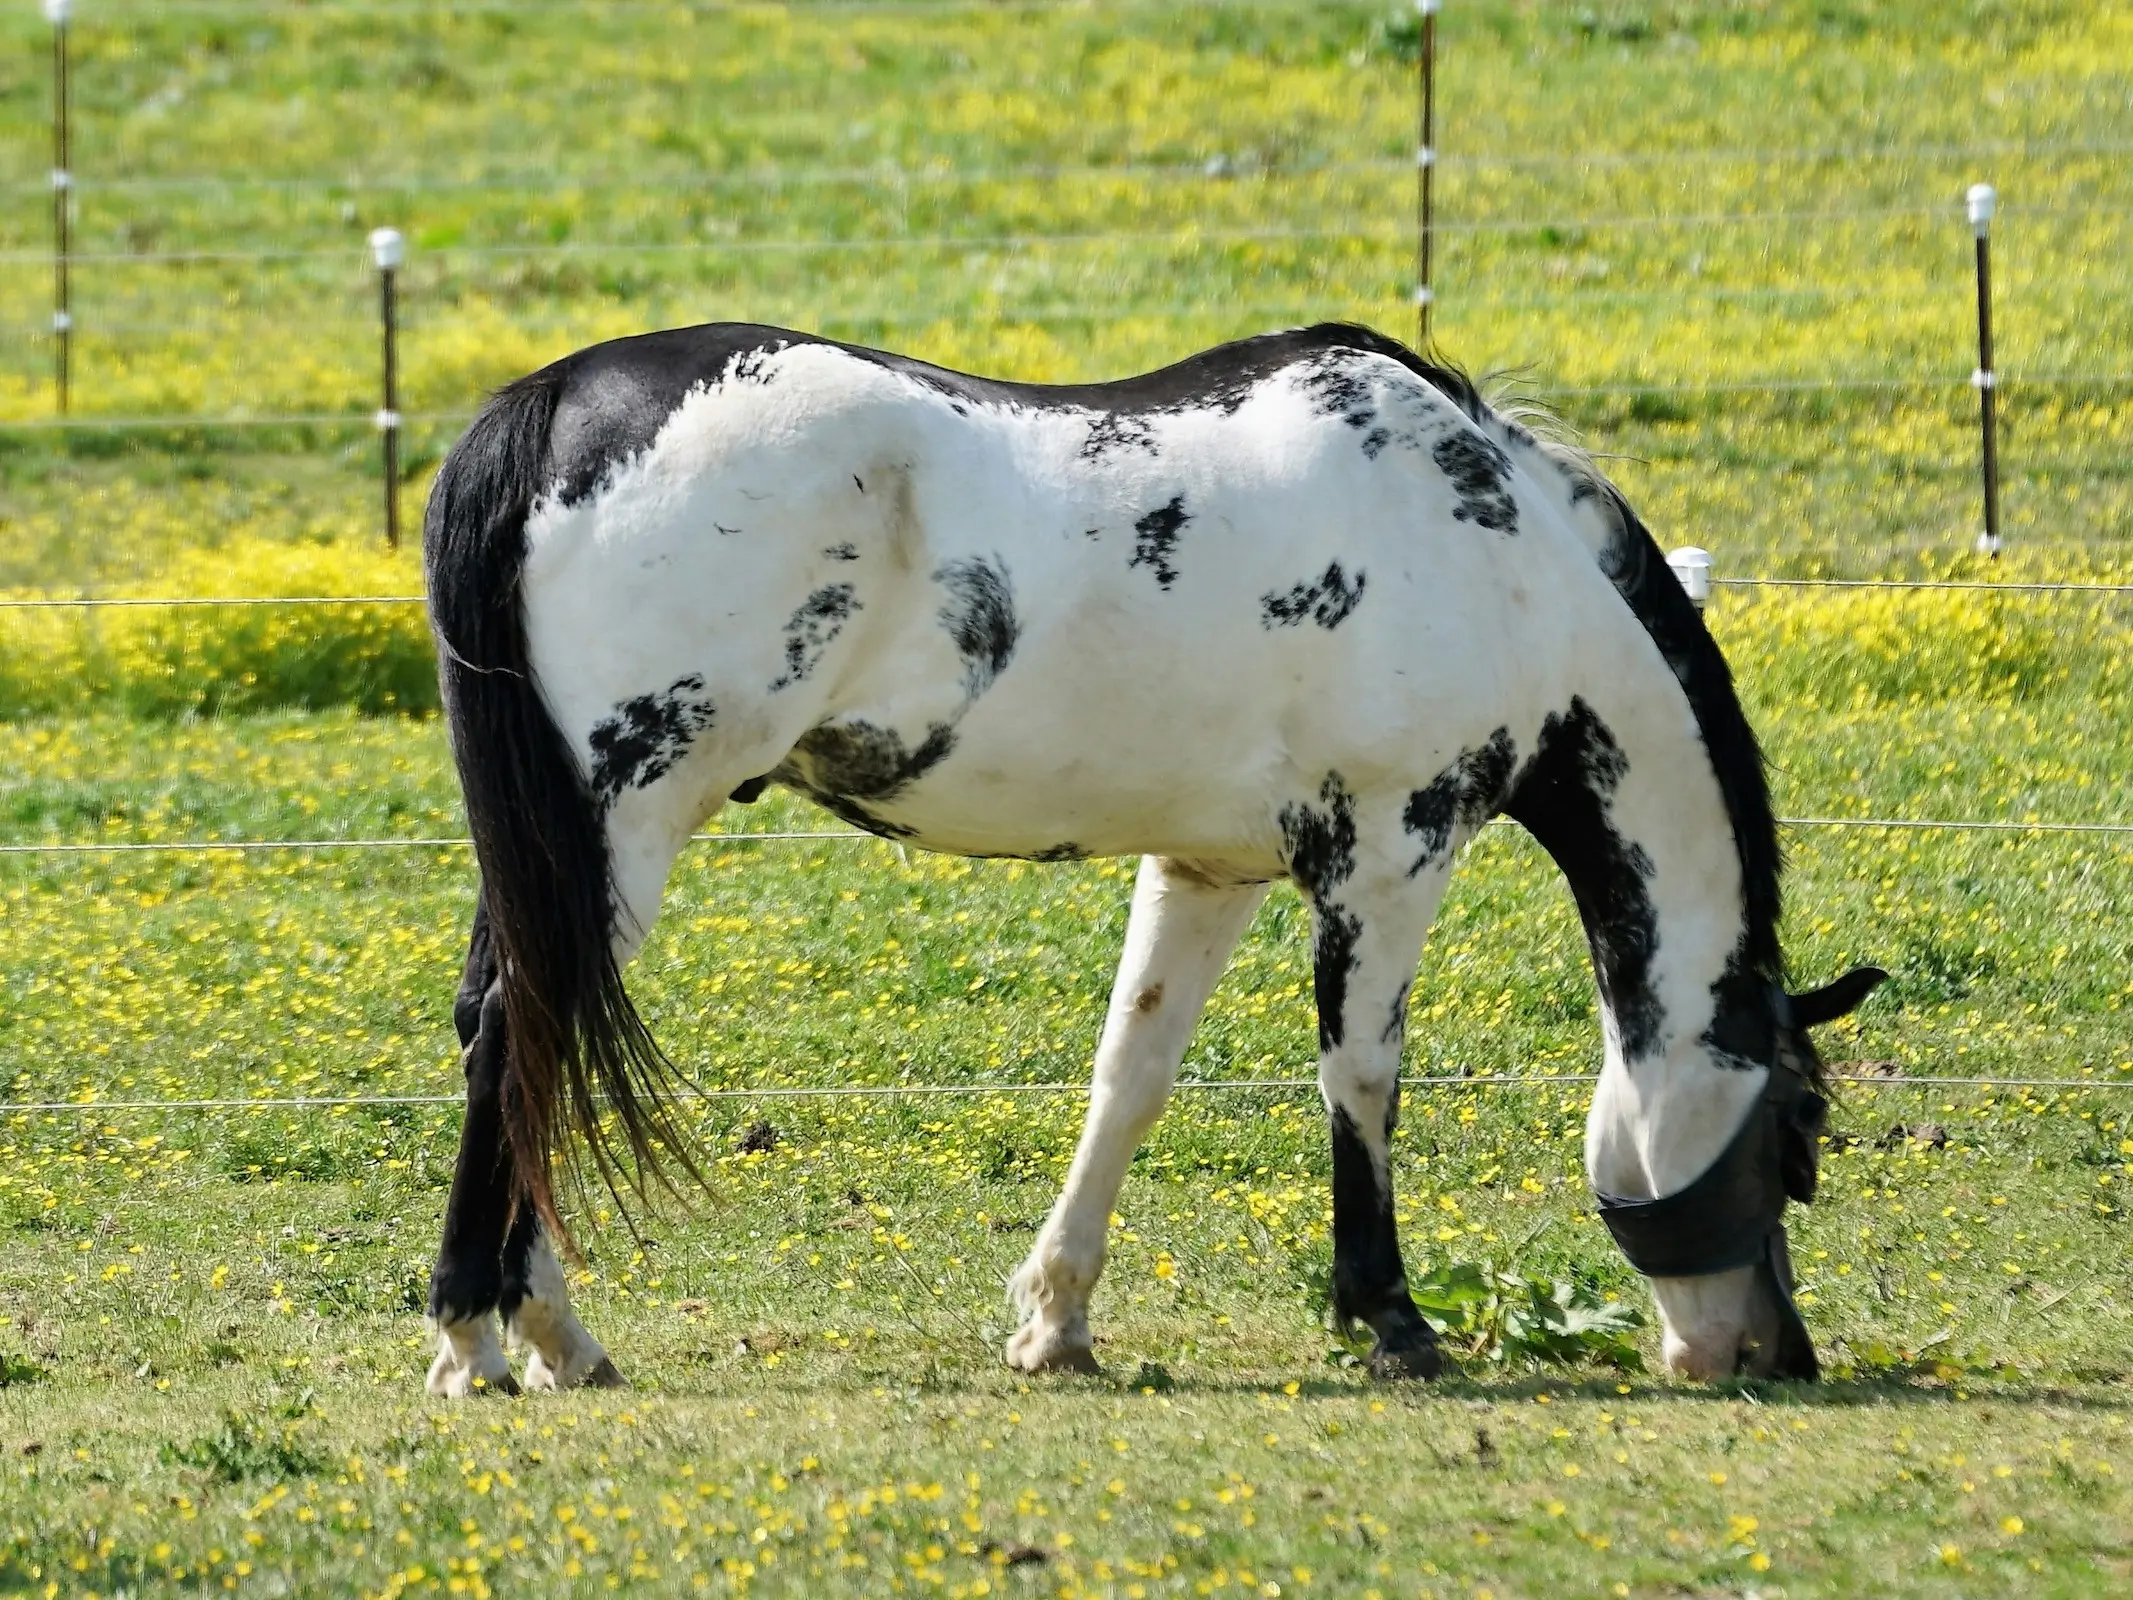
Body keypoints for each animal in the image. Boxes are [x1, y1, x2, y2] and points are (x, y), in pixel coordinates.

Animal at [415, 320, 1885, 1399]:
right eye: (1800, 1131)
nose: (1772, 1355)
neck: (1492, 553)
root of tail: (554, 399)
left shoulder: (1207, 870)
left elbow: (1130, 1078)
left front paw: (1055, 1323)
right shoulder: (1388, 858)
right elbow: (1362, 1080)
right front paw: (1390, 1318)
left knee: (508, 1027)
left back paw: (542, 1337)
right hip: (620, 830)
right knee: (526, 1031)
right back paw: (491, 1336)